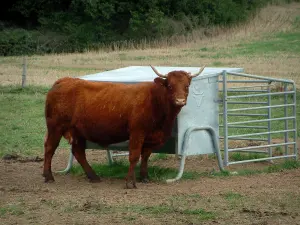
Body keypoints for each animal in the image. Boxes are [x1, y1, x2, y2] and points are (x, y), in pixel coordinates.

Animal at [42, 65, 204, 188]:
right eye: (170, 86)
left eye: (187, 86)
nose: (180, 100)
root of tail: (64, 80)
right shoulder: (137, 132)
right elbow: (134, 156)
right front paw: (130, 182)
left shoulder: (151, 137)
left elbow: (145, 156)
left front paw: (144, 177)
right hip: (55, 126)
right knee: (50, 148)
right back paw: (48, 176)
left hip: (77, 131)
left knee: (78, 152)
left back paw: (93, 176)